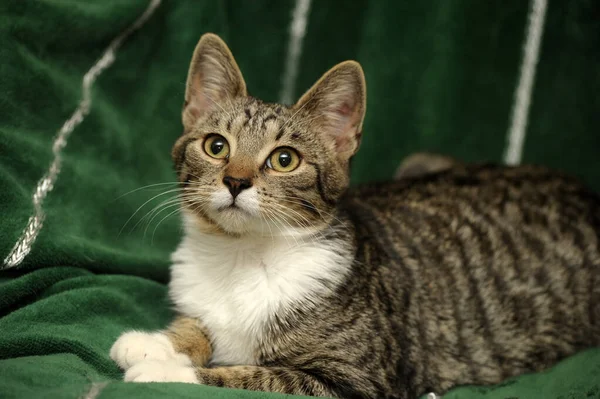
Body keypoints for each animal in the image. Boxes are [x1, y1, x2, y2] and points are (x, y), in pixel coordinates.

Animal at [110, 32, 600, 398]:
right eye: (216, 146)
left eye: (284, 159)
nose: (235, 180)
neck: (242, 257)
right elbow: (199, 325)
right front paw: (156, 342)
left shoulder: (357, 382)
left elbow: (254, 376)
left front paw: (168, 373)